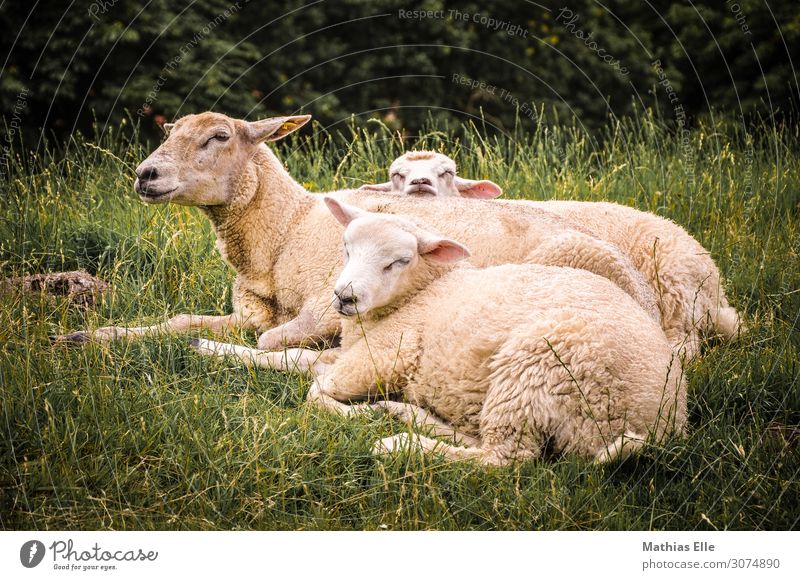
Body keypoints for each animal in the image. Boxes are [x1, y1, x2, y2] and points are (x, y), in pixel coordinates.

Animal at [53, 111, 660, 352]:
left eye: (220, 136)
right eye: (172, 130)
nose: (145, 174)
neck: (284, 229)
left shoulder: (324, 301)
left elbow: (269, 340)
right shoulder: (251, 310)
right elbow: (180, 323)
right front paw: (86, 336)